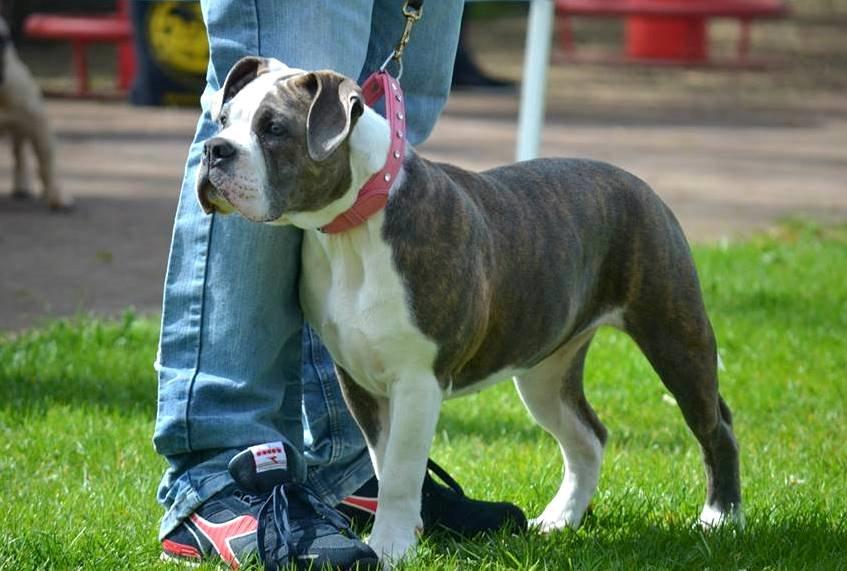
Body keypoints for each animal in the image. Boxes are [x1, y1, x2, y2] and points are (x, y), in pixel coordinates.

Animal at [0, 16, 70, 211]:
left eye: (4, 39)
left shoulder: (38, 123)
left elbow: (46, 161)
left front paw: (56, 195)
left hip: (22, 125)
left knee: (19, 153)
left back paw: (21, 186)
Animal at [197, 58, 744, 564]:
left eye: (274, 129)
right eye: (222, 119)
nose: (214, 150)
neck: (354, 227)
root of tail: (637, 183)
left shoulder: (418, 381)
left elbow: (401, 470)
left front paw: (390, 547)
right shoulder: (358, 380)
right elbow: (385, 461)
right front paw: (408, 533)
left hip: (675, 337)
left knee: (715, 427)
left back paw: (721, 518)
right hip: (546, 374)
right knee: (588, 437)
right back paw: (560, 520)